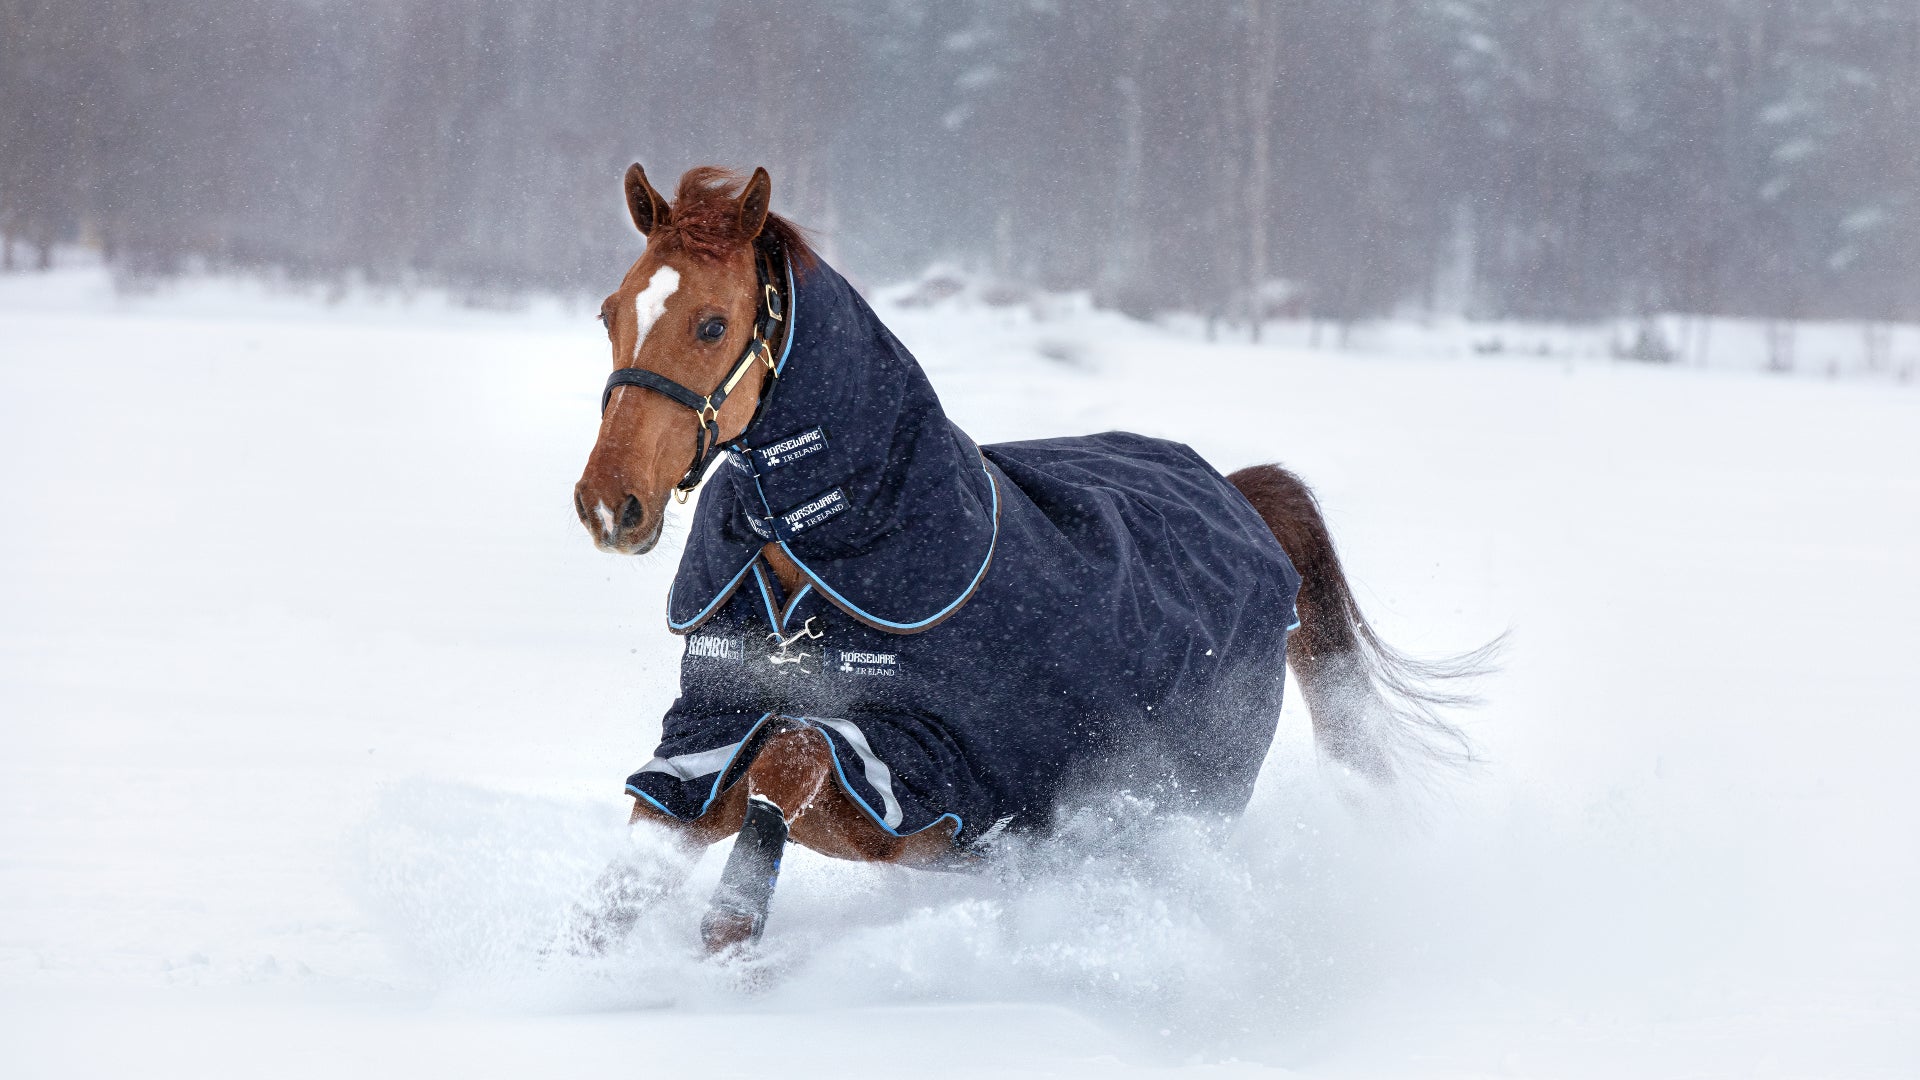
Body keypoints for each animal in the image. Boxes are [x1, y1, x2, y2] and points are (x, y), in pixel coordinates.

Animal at [573, 164, 1480, 954]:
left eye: (712, 324)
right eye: (611, 312)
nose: (609, 503)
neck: (823, 557)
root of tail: (1239, 492)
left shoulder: (923, 776)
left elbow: (790, 757)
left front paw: (732, 937)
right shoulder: (703, 740)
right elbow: (630, 871)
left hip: (1182, 803)